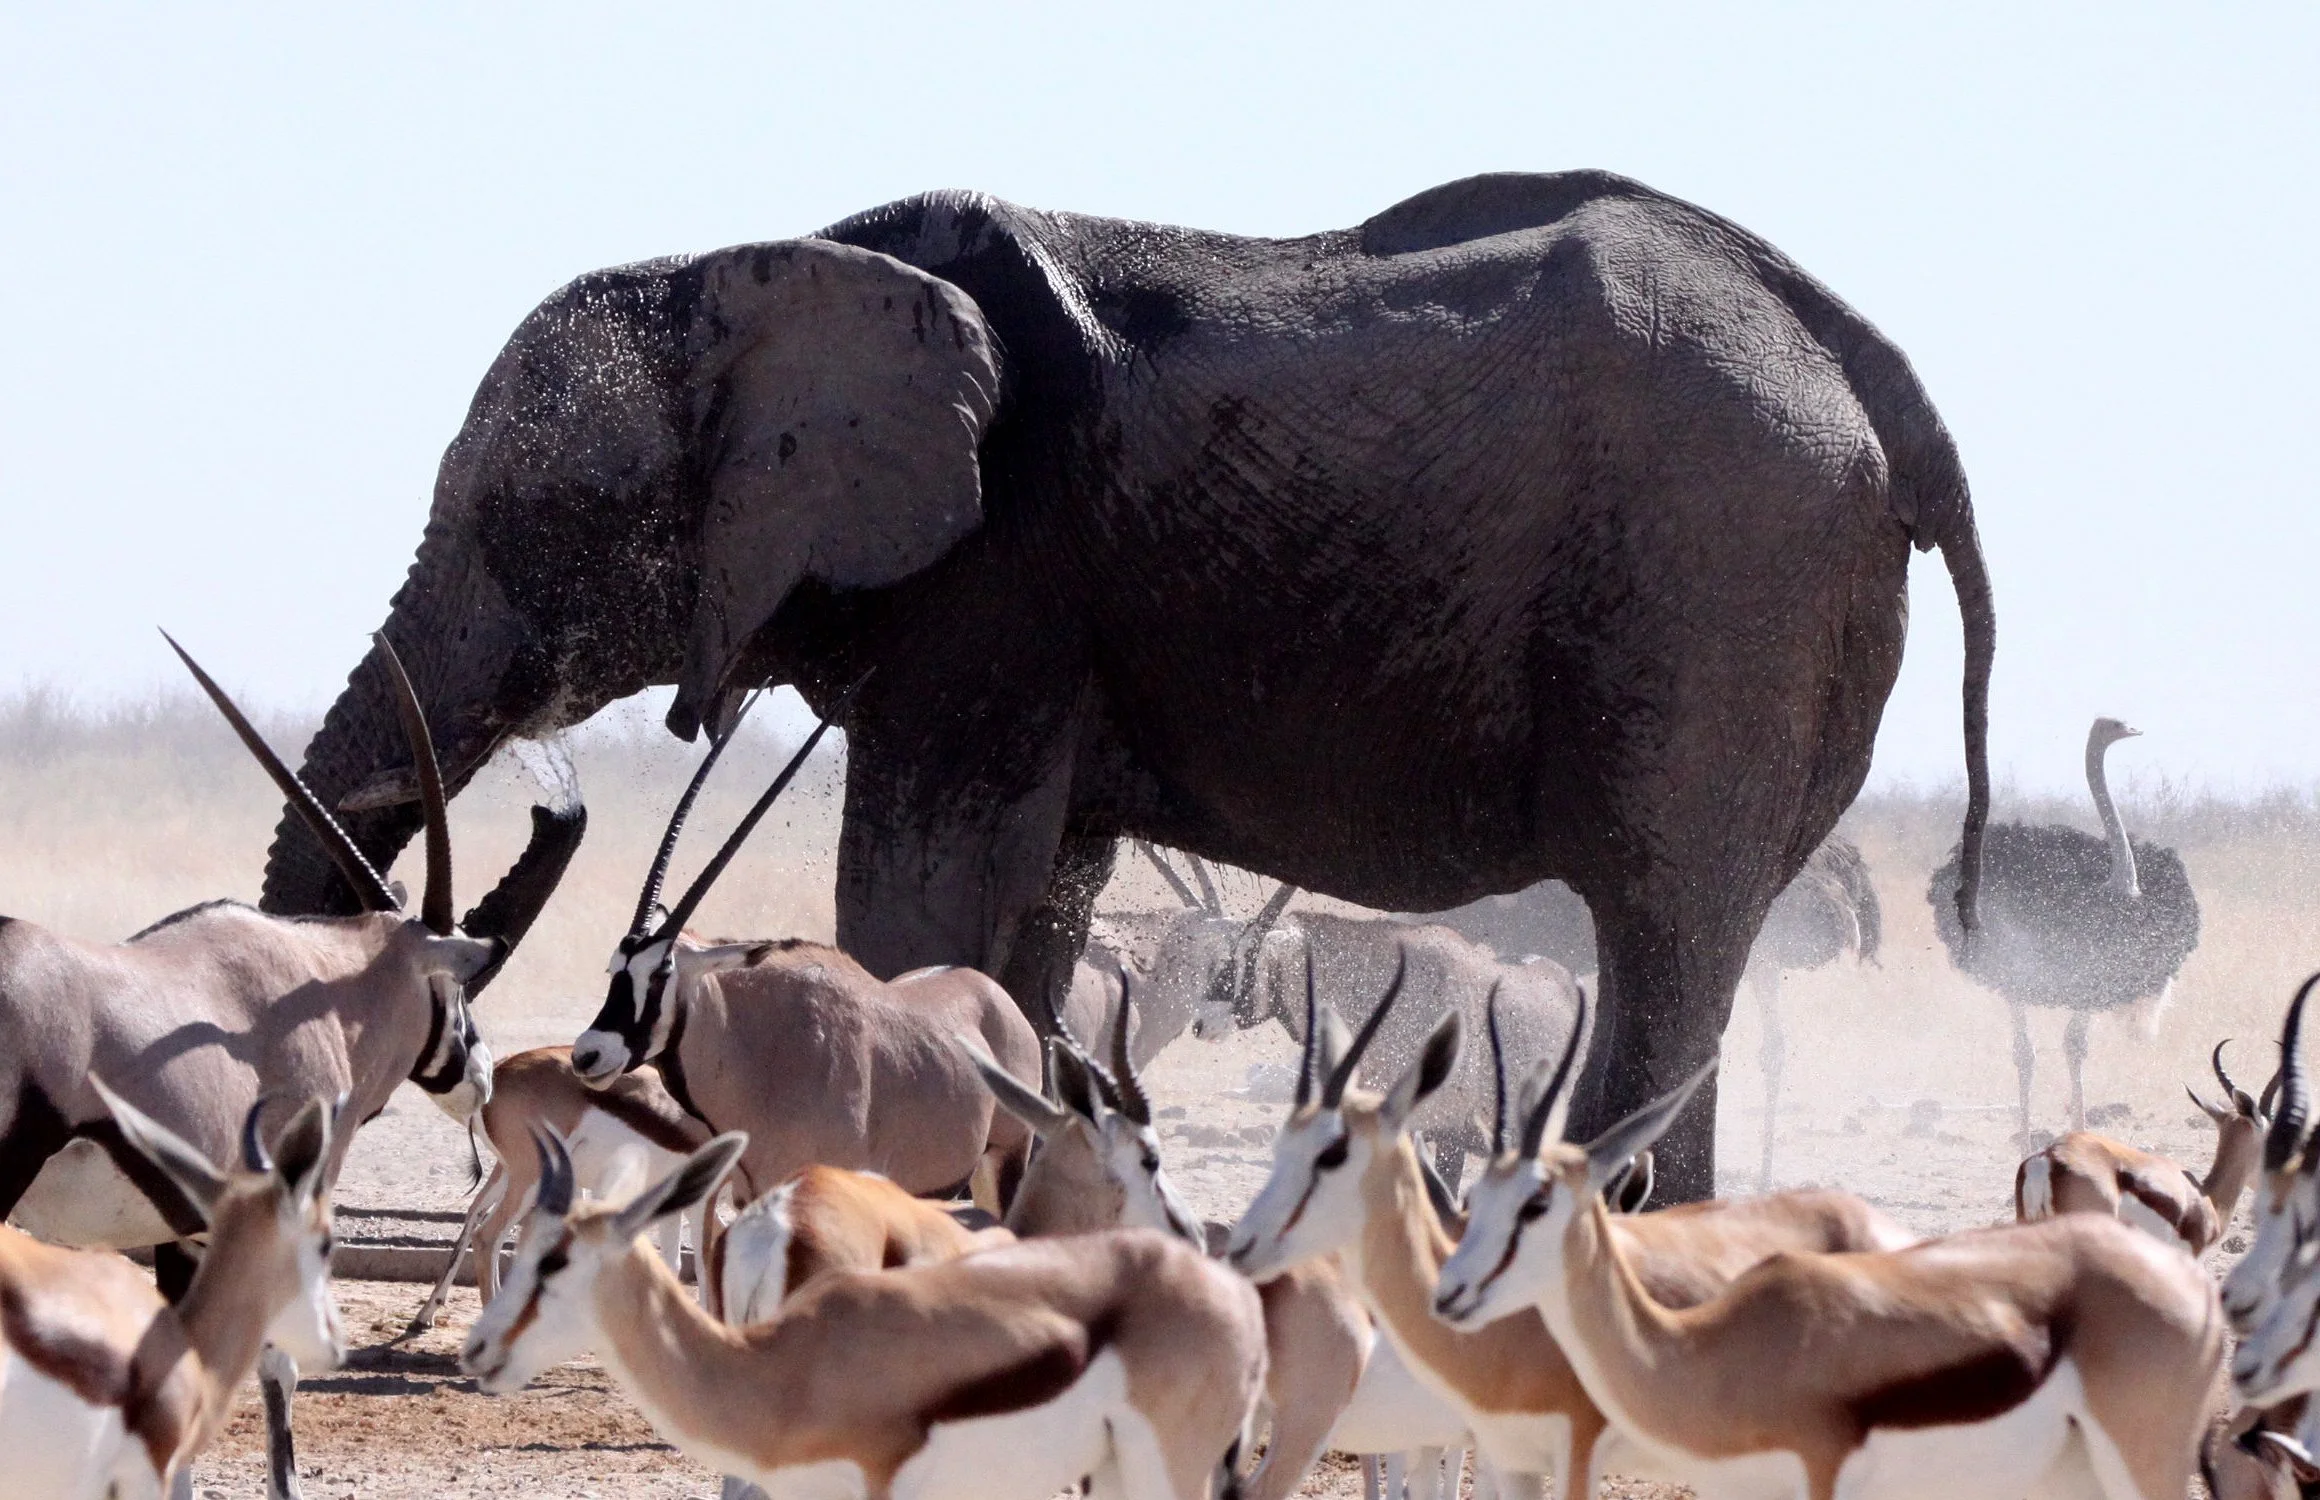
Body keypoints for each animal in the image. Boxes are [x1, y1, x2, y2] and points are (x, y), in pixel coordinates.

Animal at [260, 170, 1994, 1200]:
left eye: (538, 523)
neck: (762, 261)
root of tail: (1869, 368)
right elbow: (1035, 908)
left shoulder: (1003, 582)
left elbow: (921, 888)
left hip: (1724, 579)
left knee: (1664, 926)